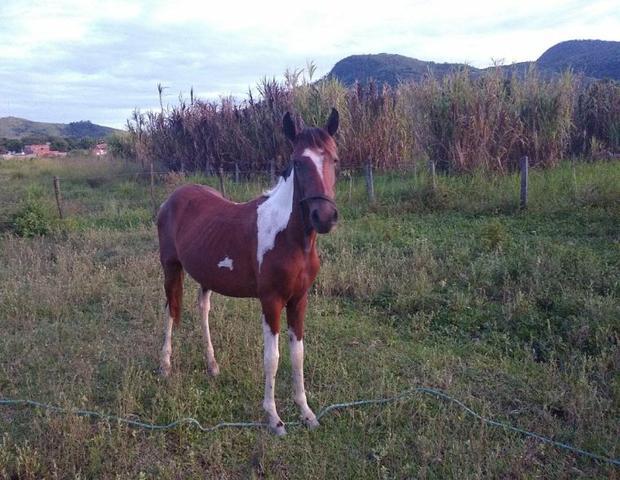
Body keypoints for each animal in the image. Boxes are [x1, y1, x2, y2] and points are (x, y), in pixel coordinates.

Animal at [155, 108, 340, 436]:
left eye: (334, 159)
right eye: (298, 162)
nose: (325, 216)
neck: (289, 237)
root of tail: (173, 197)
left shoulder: (299, 300)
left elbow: (298, 355)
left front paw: (306, 413)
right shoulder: (271, 301)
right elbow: (272, 358)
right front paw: (274, 418)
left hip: (205, 274)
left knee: (202, 309)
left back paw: (212, 365)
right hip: (171, 267)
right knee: (171, 310)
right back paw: (165, 365)